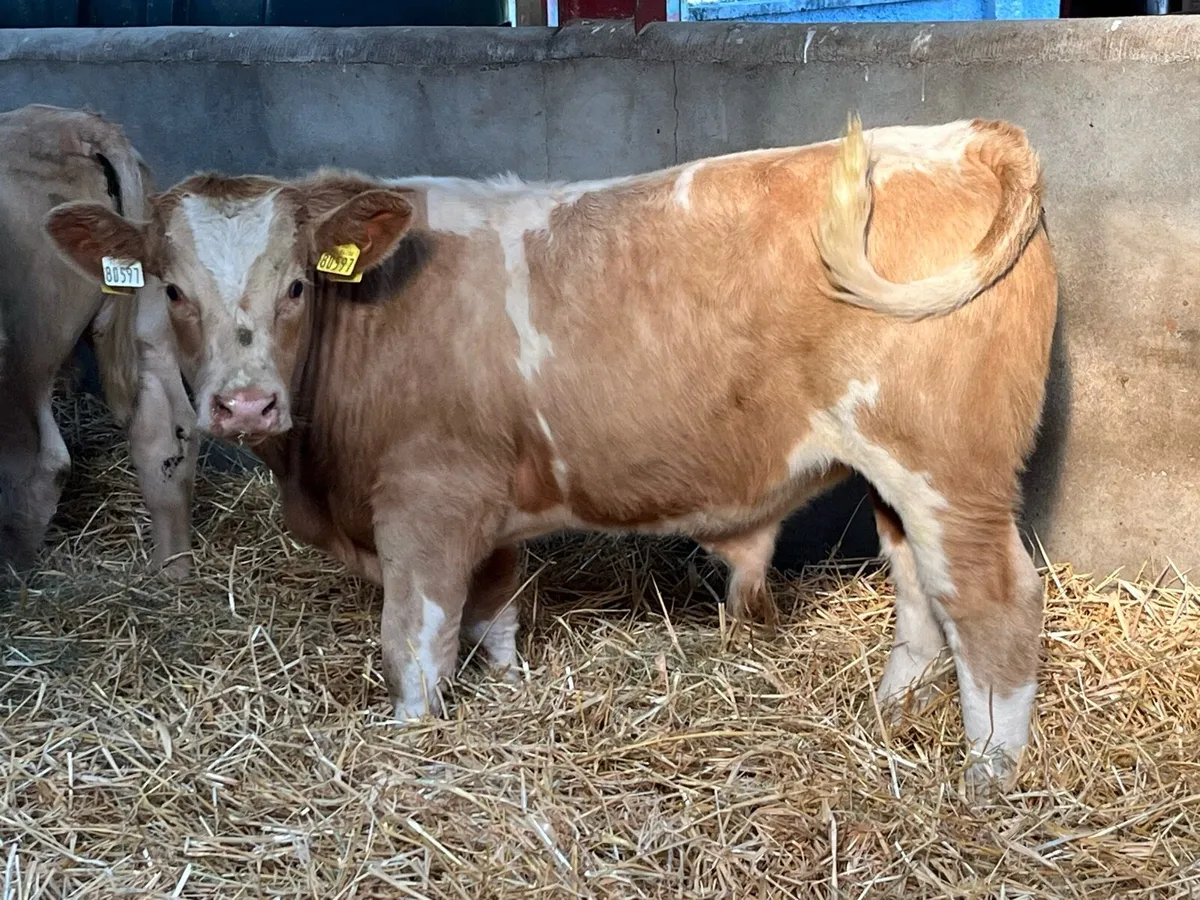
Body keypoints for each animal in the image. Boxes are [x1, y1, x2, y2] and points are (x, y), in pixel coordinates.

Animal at [0, 104, 197, 577]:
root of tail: (77, 126)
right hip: (151, 315)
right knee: (165, 432)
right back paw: (173, 569)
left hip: (27, 346)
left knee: (41, 462)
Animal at [46, 114, 1057, 793]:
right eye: (172, 290)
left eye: (296, 285)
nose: (244, 402)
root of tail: (961, 135)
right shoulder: (485, 505)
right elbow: (492, 614)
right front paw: (507, 687)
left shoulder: (427, 499)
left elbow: (415, 644)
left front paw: (412, 743)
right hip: (900, 477)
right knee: (921, 590)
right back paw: (892, 711)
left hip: (950, 470)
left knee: (995, 602)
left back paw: (986, 776)